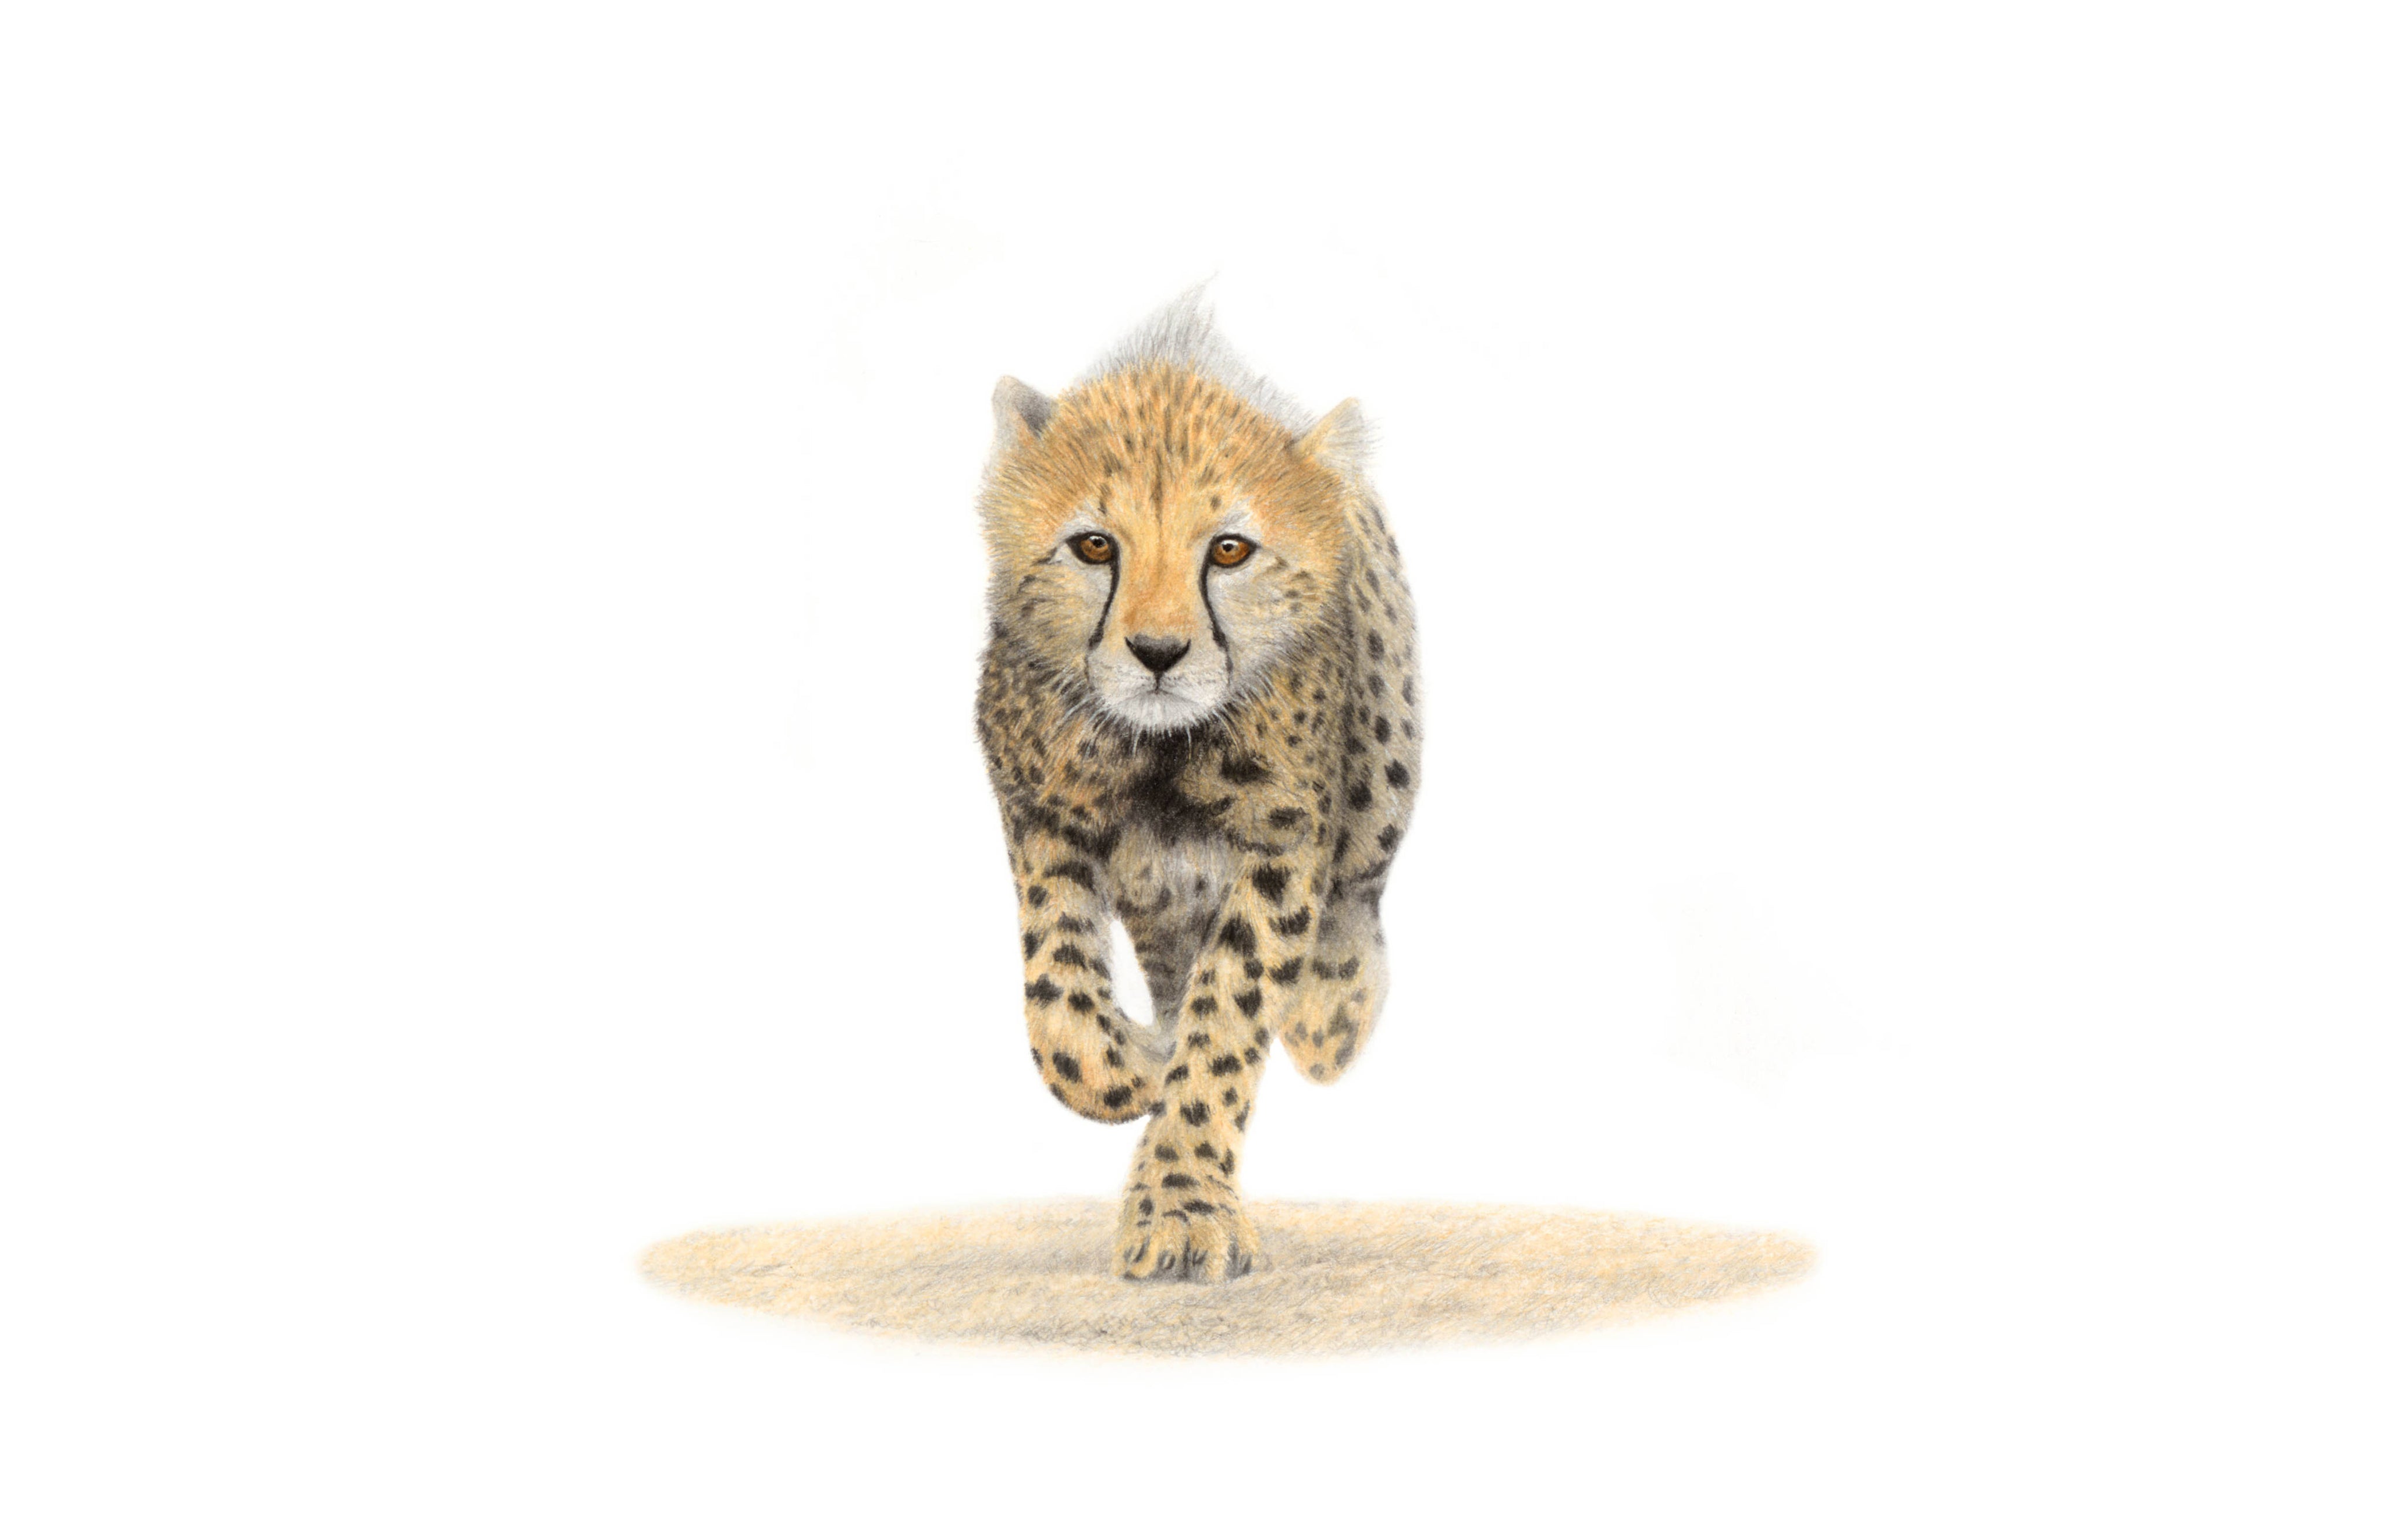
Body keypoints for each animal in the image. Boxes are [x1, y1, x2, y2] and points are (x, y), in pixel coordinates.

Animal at [974, 296, 1421, 1282]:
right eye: (1093, 545)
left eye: (1230, 549)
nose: (1158, 652)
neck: (1161, 750)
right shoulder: (1042, 814)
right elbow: (1062, 1011)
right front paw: (1138, 1066)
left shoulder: (1282, 842)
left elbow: (1231, 1014)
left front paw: (1181, 1206)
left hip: (1386, 755)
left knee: (1362, 882)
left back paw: (1334, 1012)